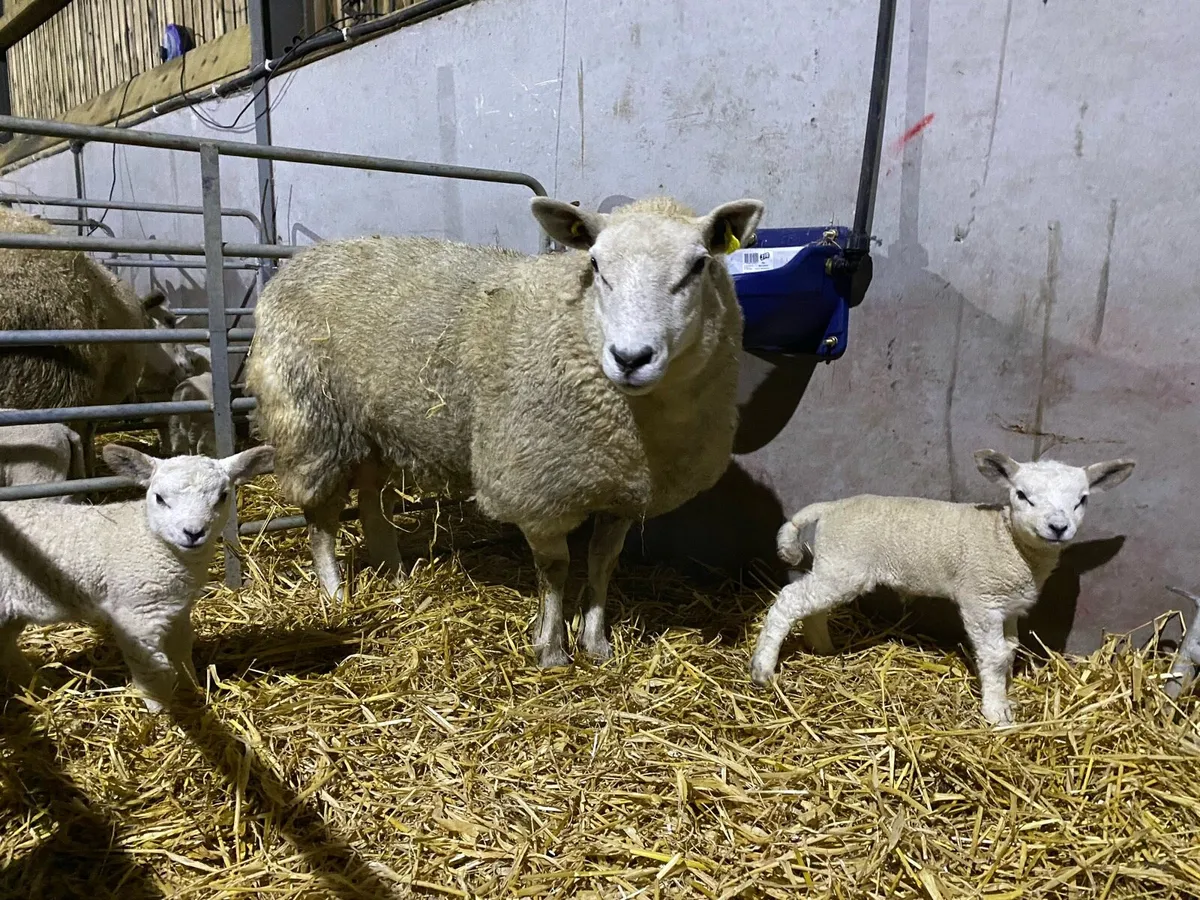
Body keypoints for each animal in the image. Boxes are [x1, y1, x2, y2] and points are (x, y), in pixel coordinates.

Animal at [0, 442, 274, 712]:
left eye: (222, 496)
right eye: (159, 498)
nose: (193, 533)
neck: (151, 538)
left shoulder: (177, 609)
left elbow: (182, 650)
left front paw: (191, 691)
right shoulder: (136, 613)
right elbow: (151, 669)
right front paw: (160, 713)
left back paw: (36, 686)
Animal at [246, 194, 763, 666]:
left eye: (699, 265)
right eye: (595, 264)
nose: (630, 358)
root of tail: (297, 262)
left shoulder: (618, 486)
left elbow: (602, 562)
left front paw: (596, 642)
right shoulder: (536, 487)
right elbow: (556, 569)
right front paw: (551, 648)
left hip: (374, 426)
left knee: (372, 503)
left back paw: (393, 575)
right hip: (311, 421)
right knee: (321, 519)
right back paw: (335, 594)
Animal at [749, 450, 1136, 725]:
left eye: (1082, 499)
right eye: (1022, 495)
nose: (1058, 527)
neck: (1007, 540)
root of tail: (831, 507)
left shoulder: (1008, 606)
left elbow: (1010, 650)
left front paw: (1006, 692)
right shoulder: (981, 599)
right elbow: (994, 656)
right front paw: (996, 712)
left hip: (837, 567)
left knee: (812, 606)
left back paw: (823, 648)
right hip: (844, 565)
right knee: (790, 600)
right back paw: (763, 668)